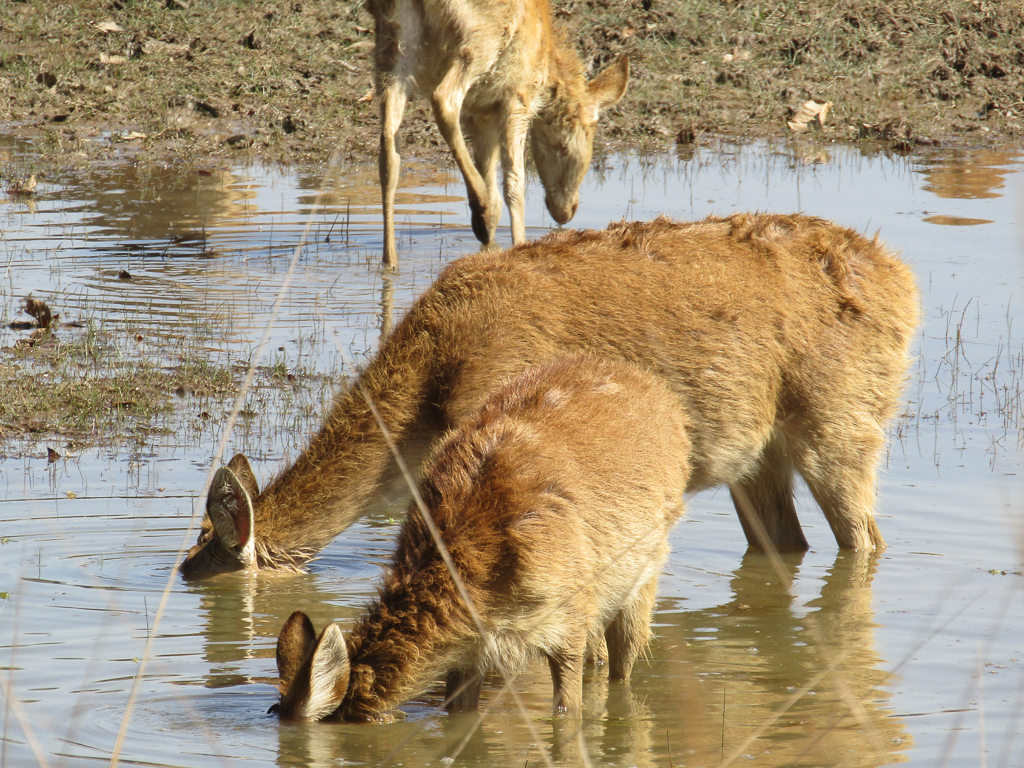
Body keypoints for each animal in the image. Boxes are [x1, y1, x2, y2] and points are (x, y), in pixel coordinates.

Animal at [180, 214, 925, 581]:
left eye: (208, 575)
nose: (185, 574)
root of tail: (905, 283)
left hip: (842, 418)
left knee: (866, 537)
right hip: (757, 454)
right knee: (787, 542)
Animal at [268, 356, 692, 720]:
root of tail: (663, 394)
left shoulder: (568, 610)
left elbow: (567, 709)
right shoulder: (470, 653)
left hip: (645, 567)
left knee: (624, 660)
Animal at [364, 0, 626, 268]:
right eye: (589, 132)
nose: (566, 211)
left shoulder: (481, 114)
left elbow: (491, 176)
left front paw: (490, 249)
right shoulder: (518, 97)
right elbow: (514, 183)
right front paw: (518, 248)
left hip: (391, 46)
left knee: (388, 153)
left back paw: (390, 260)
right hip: (480, 40)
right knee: (444, 99)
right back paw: (480, 213)